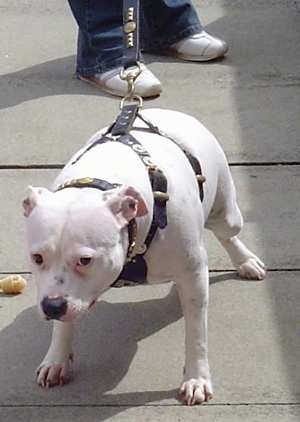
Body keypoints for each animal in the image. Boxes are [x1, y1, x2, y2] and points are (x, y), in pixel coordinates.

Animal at [22, 109, 264, 406]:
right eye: (37, 257)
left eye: (85, 260)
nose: (52, 306)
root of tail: (168, 111)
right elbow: (62, 326)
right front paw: (56, 360)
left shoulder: (193, 274)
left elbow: (196, 334)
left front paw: (196, 378)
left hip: (227, 215)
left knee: (226, 233)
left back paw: (246, 261)